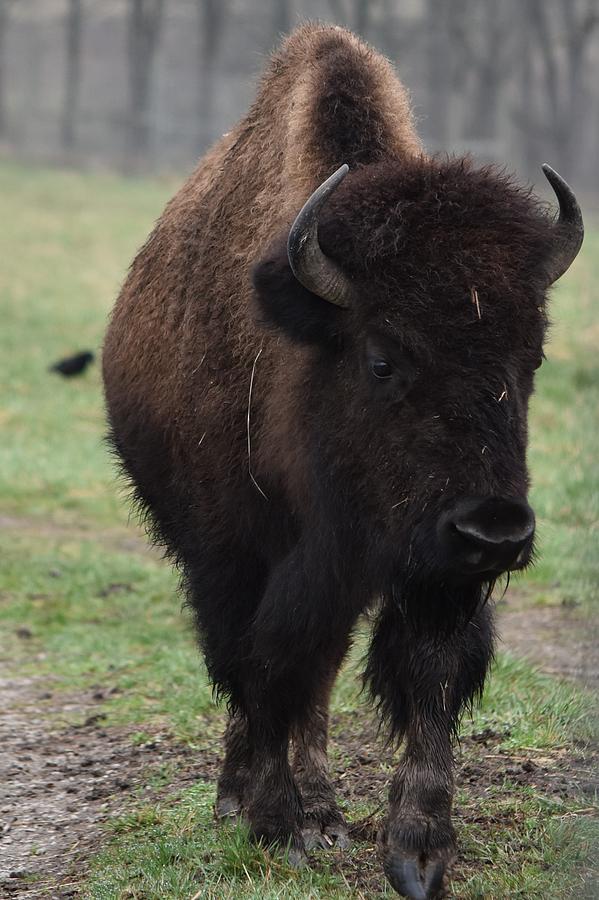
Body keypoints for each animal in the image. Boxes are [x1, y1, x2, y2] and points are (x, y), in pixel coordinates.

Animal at [104, 21, 584, 900]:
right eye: (383, 358)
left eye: (529, 358)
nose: (493, 531)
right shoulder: (235, 557)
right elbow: (258, 667)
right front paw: (272, 824)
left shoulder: (426, 565)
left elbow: (424, 674)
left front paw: (418, 851)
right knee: (270, 675)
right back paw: (248, 802)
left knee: (319, 681)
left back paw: (327, 811)